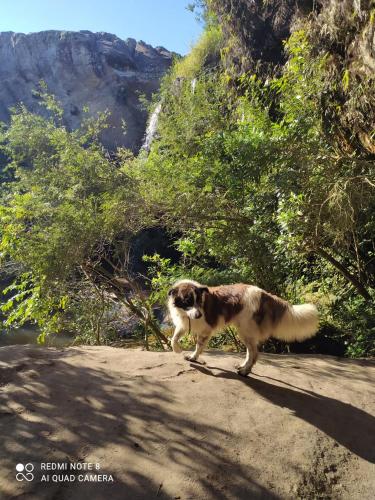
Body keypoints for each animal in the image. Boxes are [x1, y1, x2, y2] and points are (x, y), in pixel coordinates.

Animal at [169, 282, 318, 376]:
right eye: (187, 301)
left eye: (199, 301)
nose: (199, 315)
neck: (185, 313)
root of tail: (265, 294)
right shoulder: (183, 324)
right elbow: (174, 338)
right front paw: (178, 350)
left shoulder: (205, 330)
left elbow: (198, 346)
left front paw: (193, 357)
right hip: (246, 332)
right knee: (250, 352)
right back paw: (243, 366)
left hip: (245, 330)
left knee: (254, 353)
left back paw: (245, 371)